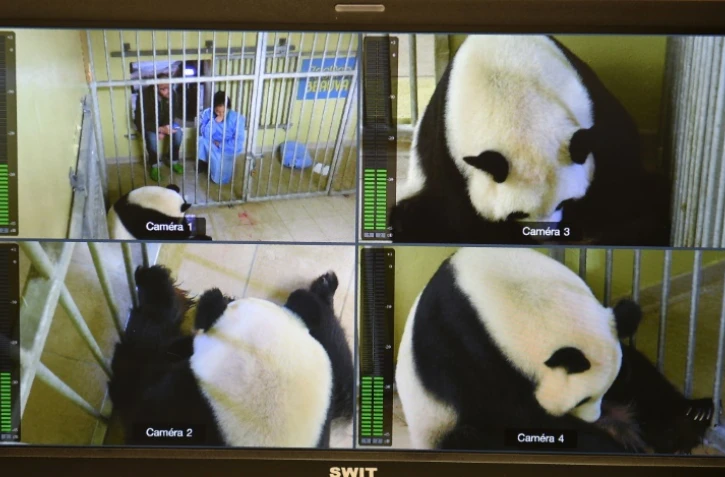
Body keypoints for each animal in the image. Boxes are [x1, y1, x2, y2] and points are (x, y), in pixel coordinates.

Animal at [108, 265, 354, 448]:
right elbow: (344, 384)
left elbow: (133, 373)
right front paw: (322, 291)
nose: (229, 296)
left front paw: (156, 284)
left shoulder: (176, 403)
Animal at [391, 35, 670, 246]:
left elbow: (621, 183)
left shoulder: (592, 107)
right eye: (519, 213)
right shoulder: (447, 149)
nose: (545, 237)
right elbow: (463, 215)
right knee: (409, 218)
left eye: (565, 202)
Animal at [394, 247, 714, 453]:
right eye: (582, 400)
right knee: (474, 439)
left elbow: (636, 374)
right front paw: (613, 439)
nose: (596, 418)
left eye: (608, 389)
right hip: (439, 424)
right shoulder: (466, 346)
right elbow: (518, 415)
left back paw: (690, 419)